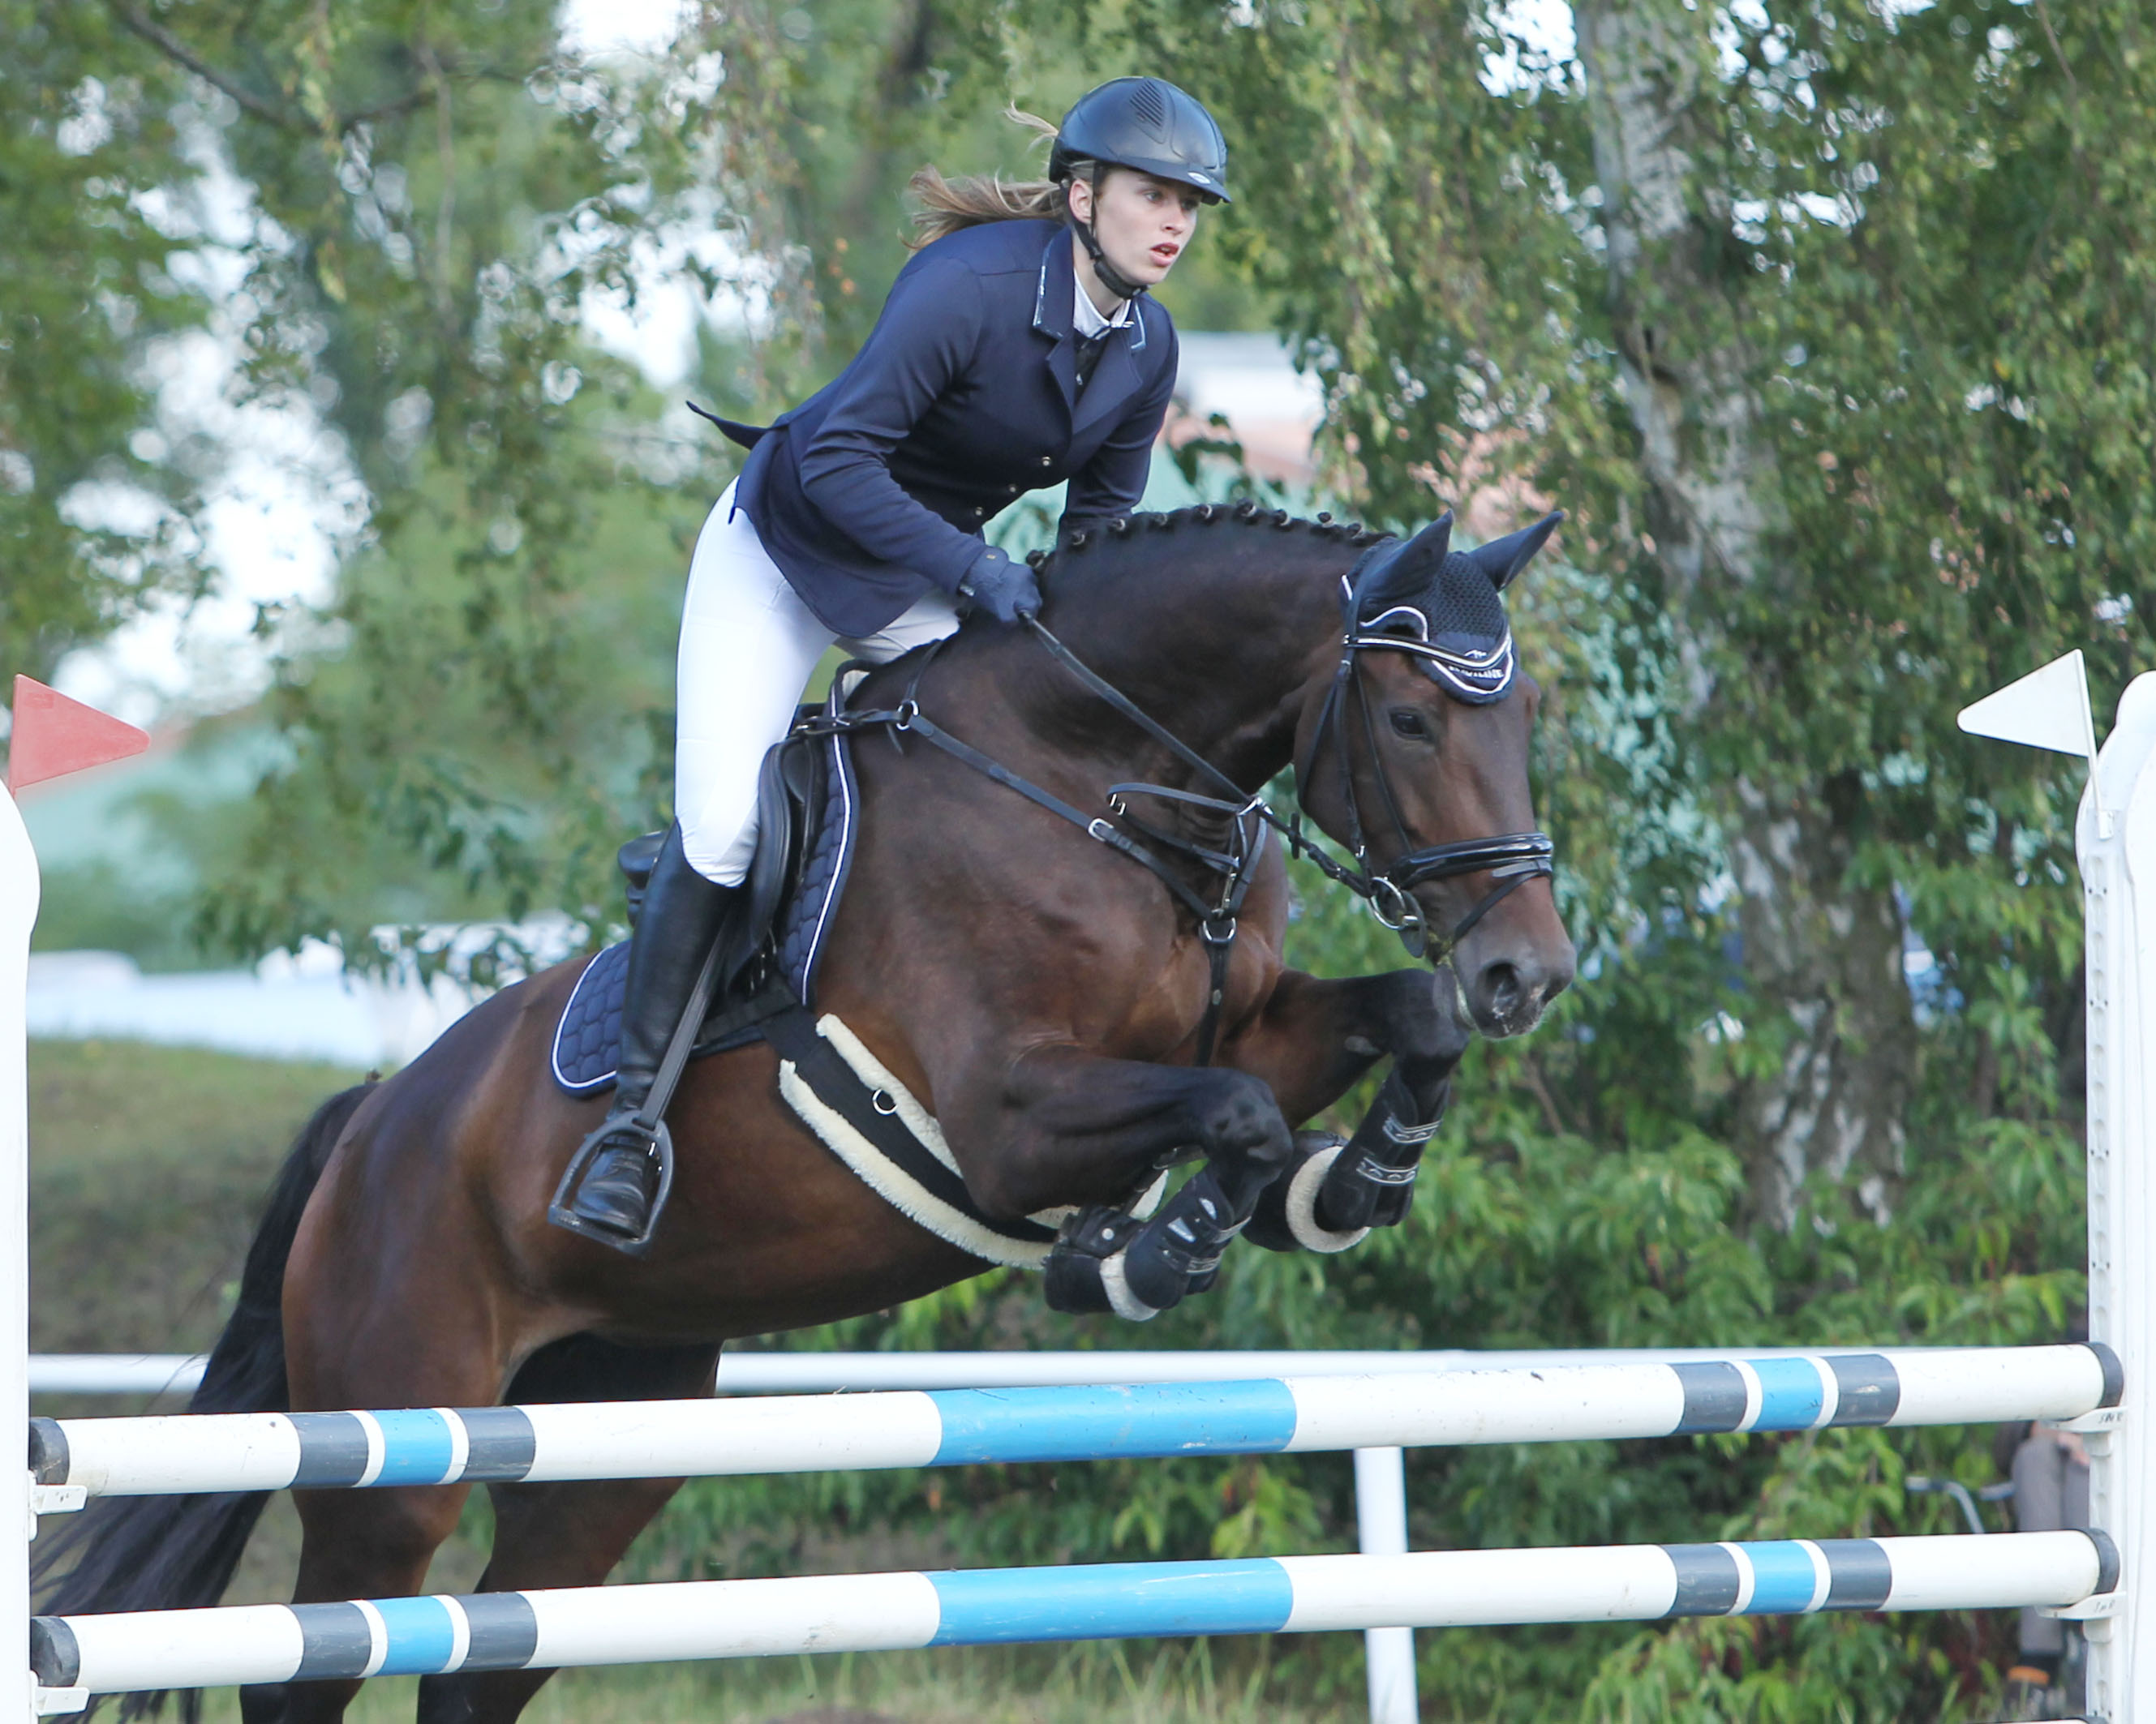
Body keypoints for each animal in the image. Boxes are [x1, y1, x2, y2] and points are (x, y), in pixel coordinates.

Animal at [41, 497, 1578, 1724]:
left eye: (1526, 718)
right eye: (1410, 719)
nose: (1531, 972)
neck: (1097, 786)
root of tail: (370, 1123)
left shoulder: (1250, 1022)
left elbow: (1391, 1022)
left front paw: (1351, 1184)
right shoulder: (1006, 1117)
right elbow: (1235, 1110)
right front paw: (1147, 1252)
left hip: (608, 1446)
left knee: (486, 1657)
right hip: (391, 1447)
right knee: (326, 1648)